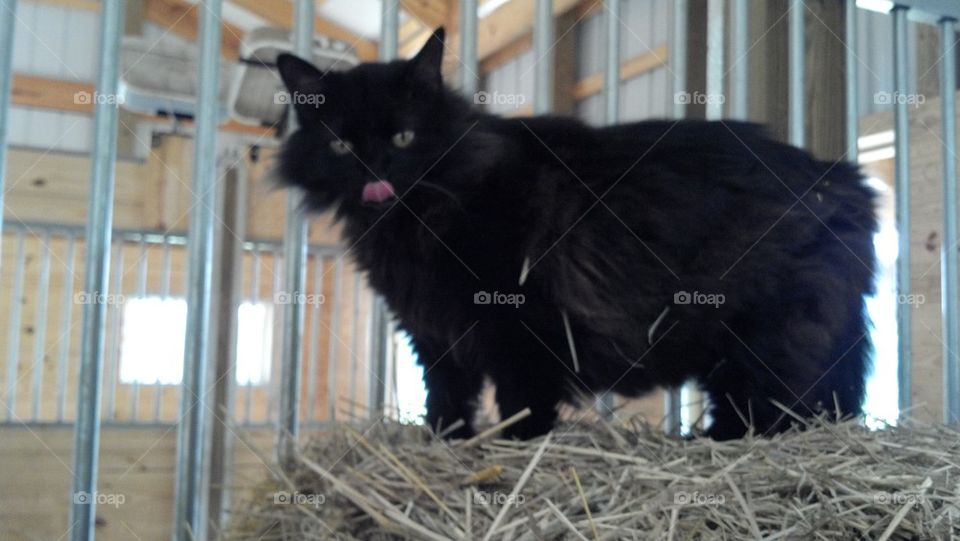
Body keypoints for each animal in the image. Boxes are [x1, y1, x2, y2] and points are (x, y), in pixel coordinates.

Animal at [278, 28, 876, 438]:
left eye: (403, 137)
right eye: (339, 146)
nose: (374, 173)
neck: (414, 224)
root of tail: (845, 181)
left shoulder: (518, 331)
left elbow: (522, 404)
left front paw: (518, 448)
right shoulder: (433, 336)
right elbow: (446, 403)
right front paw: (447, 447)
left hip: (762, 346)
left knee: (769, 413)